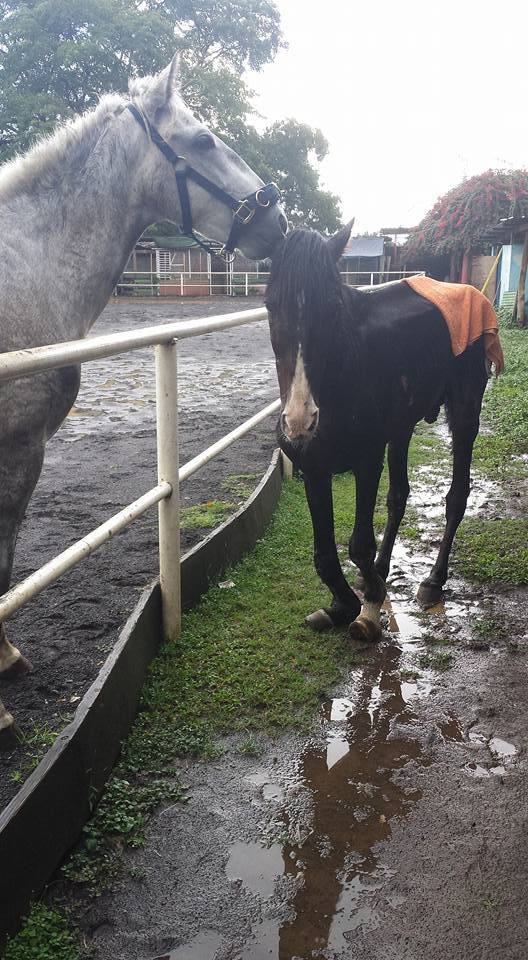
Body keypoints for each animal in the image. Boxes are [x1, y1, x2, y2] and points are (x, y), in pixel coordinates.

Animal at [265, 224, 493, 642]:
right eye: (271, 304)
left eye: (333, 307)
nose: (300, 420)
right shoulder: (314, 469)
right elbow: (324, 554)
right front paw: (343, 604)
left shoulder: (367, 461)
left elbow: (357, 544)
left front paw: (369, 605)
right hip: (401, 427)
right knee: (398, 496)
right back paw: (382, 569)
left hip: (465, 412)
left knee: (456, 497)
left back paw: (433, 580)